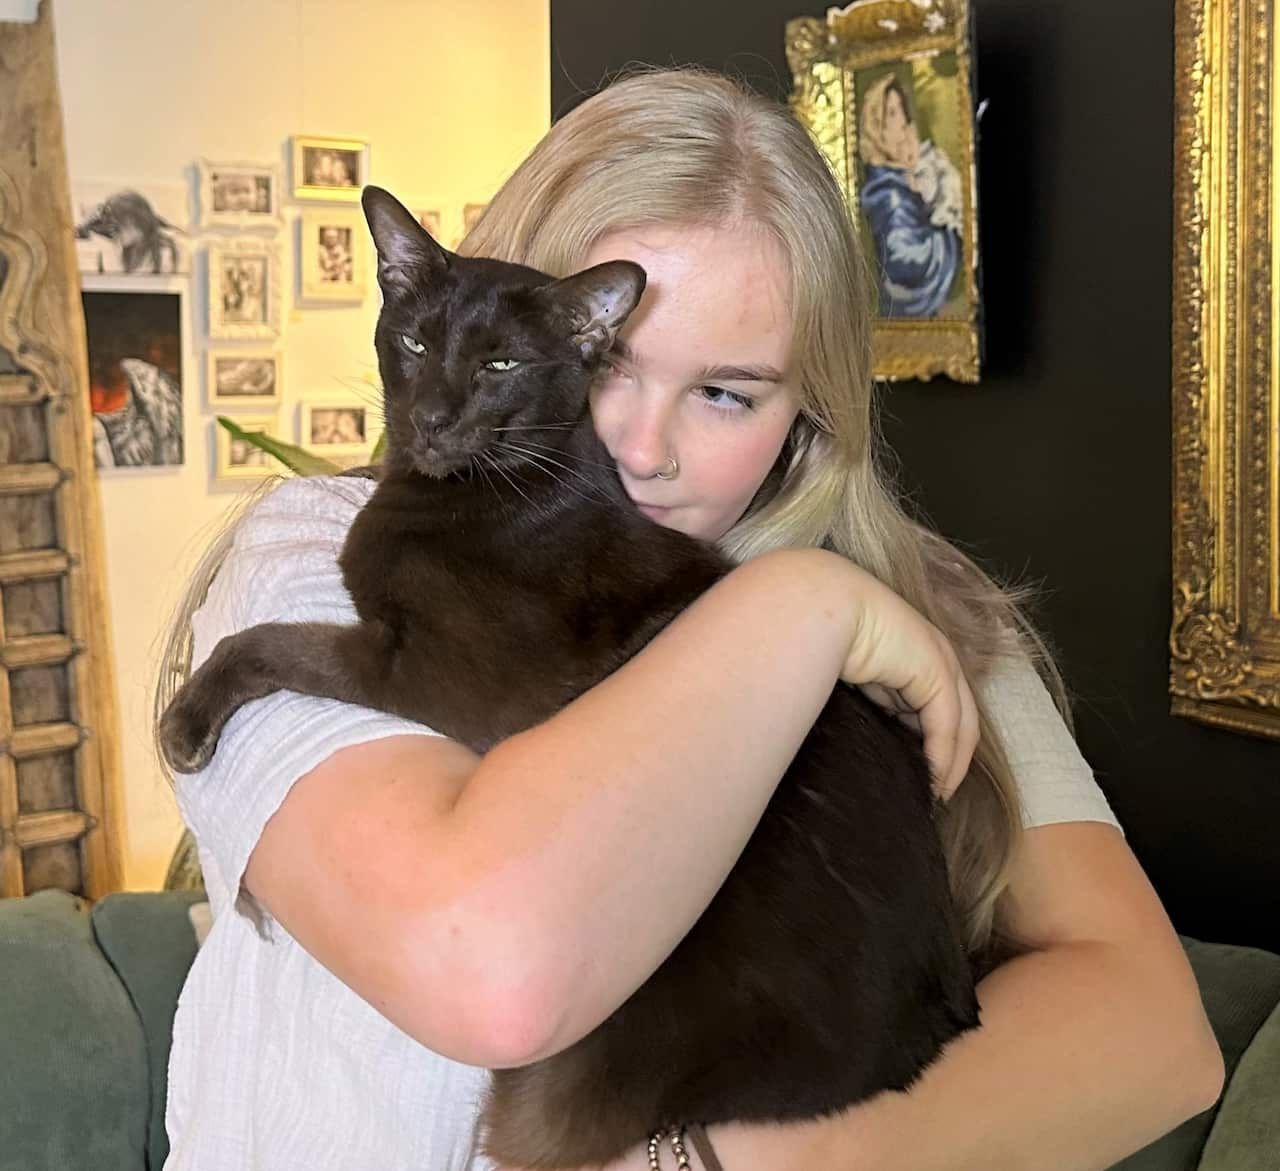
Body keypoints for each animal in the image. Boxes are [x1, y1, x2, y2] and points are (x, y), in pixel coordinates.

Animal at [162, 188, 977, 1167]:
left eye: (502, 363)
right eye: (416, 343)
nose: (432, 416)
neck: (466, 488)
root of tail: (944, 1016)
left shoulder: (435, 674)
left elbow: (273, 640)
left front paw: (184, 723)